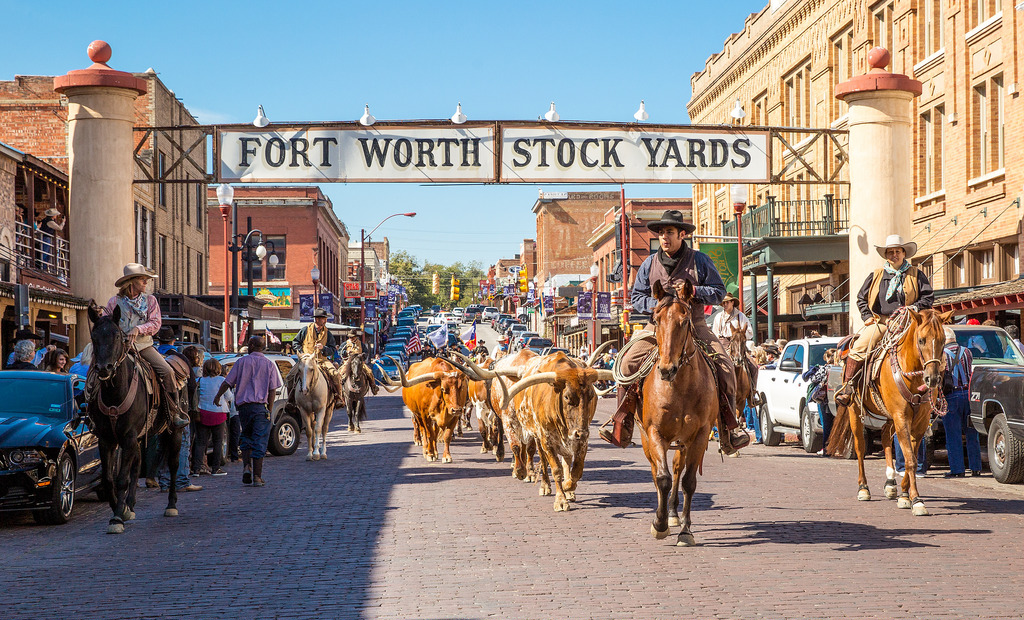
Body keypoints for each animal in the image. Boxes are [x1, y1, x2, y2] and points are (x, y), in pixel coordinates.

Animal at [88, 305, 184, 532]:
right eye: (94, 336)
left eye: (116, 335)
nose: (104, 368)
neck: (115, 394)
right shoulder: (107, 439)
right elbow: (109, 478)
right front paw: (120, 509)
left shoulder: (129, 437)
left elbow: (121, 478)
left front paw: (116, 518)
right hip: (140, 438)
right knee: (137, 466)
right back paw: (130, 505)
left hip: (174, 431)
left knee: (173, 464)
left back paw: (171, 505)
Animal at [638, 278, 720, 545]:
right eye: (655, 319)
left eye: (685, 321)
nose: (667, 369)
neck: (680, 387)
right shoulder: (654, 432)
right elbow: (662, 479)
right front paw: (659, 523)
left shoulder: (701, 434)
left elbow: (688, 481)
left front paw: (685, 530)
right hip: (647, 437)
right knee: (657, 471)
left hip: (684, 441)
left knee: (676, 468)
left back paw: (674, 513)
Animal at [823, 307, 950, 514]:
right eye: (921, 340)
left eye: (943, 340)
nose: (932, 379)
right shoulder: (901, 416)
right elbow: (910, 459)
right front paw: (916, 500)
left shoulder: (920, 421)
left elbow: (911, 456)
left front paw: (905, 495)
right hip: (855, 412)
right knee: (860, 448)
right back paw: (863, 488)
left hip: (889, 417)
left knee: (884, 437)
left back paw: (890, 483)